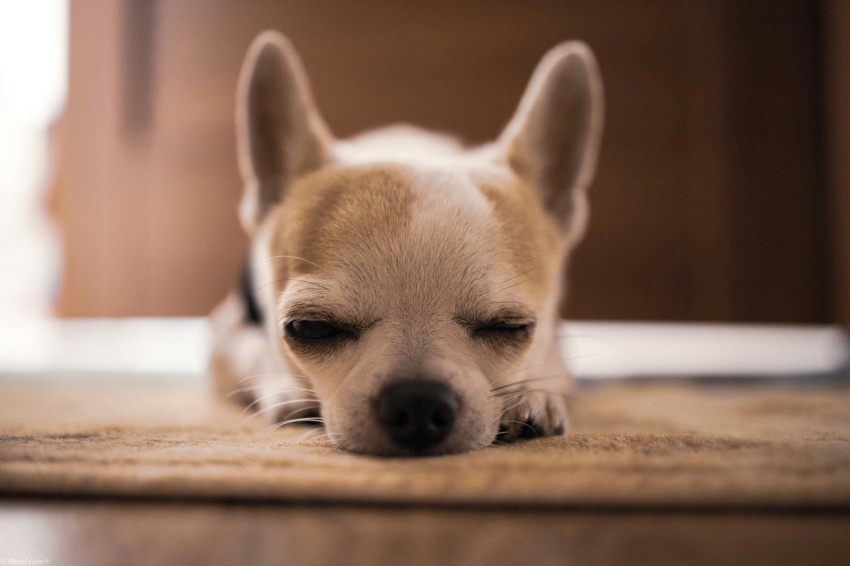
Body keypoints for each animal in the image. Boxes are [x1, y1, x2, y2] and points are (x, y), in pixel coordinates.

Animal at [211, 30, 604, 458]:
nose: (418, 401)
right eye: (311, 328)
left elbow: (552, 361)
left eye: (511, 327)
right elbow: (253, 349)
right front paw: (286, 388)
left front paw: (533, 396)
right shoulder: (222, 335)